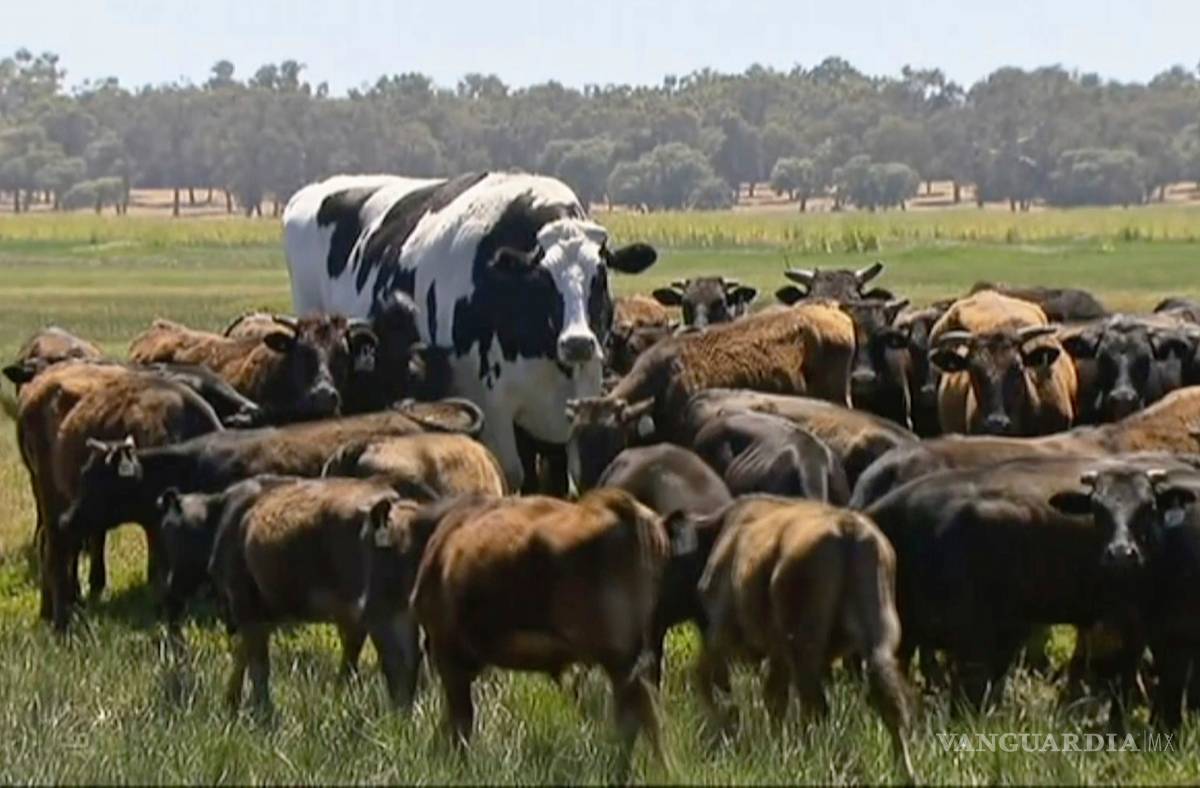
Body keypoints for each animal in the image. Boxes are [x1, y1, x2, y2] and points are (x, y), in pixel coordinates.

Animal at [283, 172, 659, 492]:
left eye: (601, 275)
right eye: (541, 277)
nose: (577, 342)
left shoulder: (578, 399)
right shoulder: (492, 407)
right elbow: (511, 474)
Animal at [402, 489, 672, 778]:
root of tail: (617, 505)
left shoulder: (448, 654)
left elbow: (460, 721)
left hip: (617, 656)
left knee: (637, 713)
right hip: (631, 656)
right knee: (642, 712)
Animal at [692, 495, 914, 779]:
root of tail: (849, 530)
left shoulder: (722, 634)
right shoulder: (777, 654)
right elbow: (773, 698)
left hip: (804, 648)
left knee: (814, 704)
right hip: (876, 642)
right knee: (889, 703)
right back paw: (905, 772)